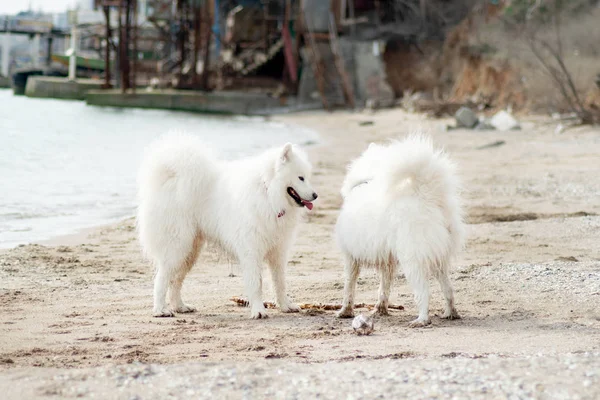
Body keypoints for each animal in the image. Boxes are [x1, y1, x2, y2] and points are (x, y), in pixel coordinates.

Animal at [135, 134, 314, 318]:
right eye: (300, 178)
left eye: (307, 177)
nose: (315, 195)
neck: (268, 195)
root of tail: (170, 176)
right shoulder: (251, 251)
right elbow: (256, 283)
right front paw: (258, 310)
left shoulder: (278, 251)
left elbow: (280, 282)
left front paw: (286, 306)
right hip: (177, 247)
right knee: (162, 278)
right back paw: (160, 310)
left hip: (189, 252)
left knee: (175, 281)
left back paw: (180, 306)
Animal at [338, 134, 464, 328]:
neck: (370, 178)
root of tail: (428, 198)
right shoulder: (387, 262)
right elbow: (384, 288)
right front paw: (381, 309)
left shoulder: (351, 257)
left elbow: (349, 287)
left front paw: (345, 311)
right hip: (438, 259)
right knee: (449, 289)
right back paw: (450, 313)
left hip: (412, 259)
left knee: (424, 292)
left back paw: (422, 319)